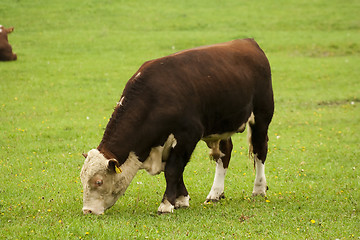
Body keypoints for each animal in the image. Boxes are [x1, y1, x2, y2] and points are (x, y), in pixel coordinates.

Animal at [80, 38, 274, 215]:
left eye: (99, 181)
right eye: (82, 179)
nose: (87, 210)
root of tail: (247, 41)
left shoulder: (188, 136)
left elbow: (173, 170)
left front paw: (166, 205)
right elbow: (177, 170)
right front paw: (181, 199)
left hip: (262, 116)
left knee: (260, 150)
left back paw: (258, 189)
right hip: (221, 127)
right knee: (224, 154)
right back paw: (215, 194)